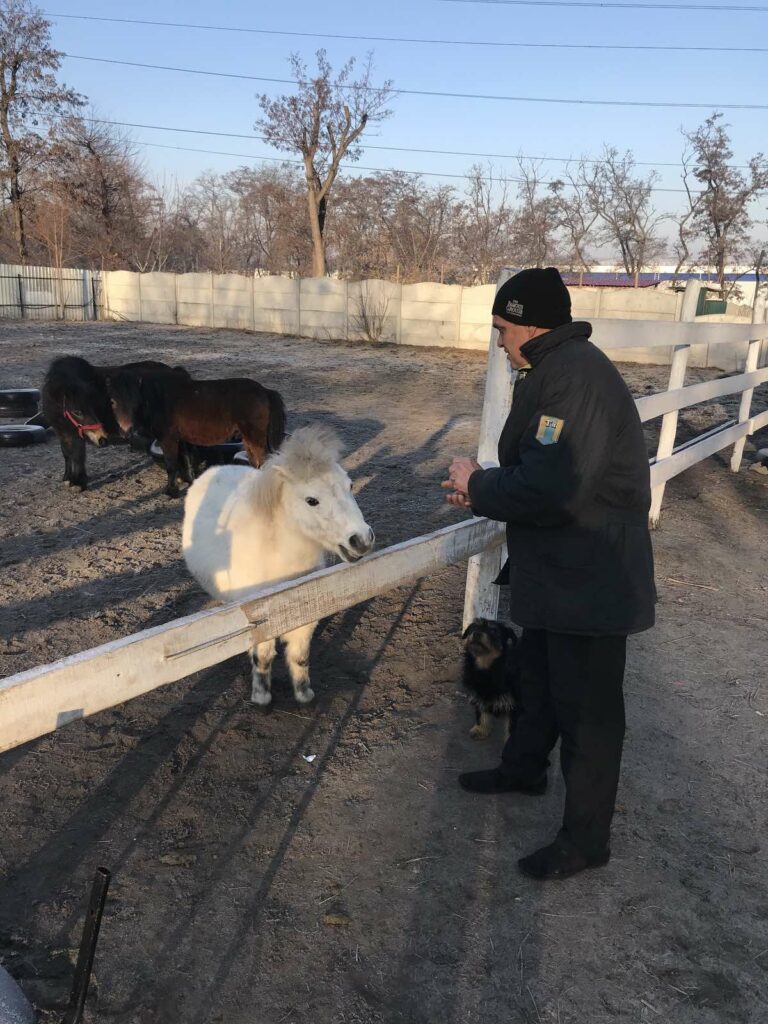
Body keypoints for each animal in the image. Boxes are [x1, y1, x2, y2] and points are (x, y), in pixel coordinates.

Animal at [107, 370, 286, 497]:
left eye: (136, 400)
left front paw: (171, 491)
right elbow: (185, 461)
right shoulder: (181, 440)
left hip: (254, 437)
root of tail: (264, 391)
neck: (160, 399)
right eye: (113, 401)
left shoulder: (168, 439)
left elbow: (171, 464)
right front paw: (190, 482)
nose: (127, 430)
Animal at [180, 423, 372, 704]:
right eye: (312, 500)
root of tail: (216, 469)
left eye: (350, 485)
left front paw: (304, 695)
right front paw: (261, 697)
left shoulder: (305, 616)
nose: (361, 540)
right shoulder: (261, 621)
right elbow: (262, 659)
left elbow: (299, 657)